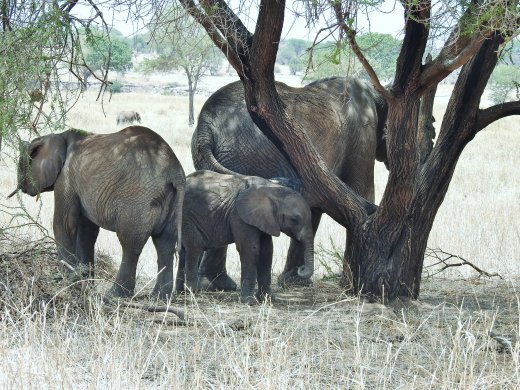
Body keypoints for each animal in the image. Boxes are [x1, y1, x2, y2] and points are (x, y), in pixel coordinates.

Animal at [9, 126, 185, 298]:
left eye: (21, 163)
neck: (57, 135)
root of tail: (174, 172)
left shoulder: (66, 178)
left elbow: (64, 223)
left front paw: (68, 282)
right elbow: (87, 231)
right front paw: (84, 282)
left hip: (139, 199)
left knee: (130, 243)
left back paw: (114, 296)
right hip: (172, 203)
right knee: (165, 243)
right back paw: (160, 297)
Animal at [176, 171, 312, 304]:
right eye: (294, 220)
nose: (301, 268)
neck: (272, 188)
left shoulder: (264, 219)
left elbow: (267, 251)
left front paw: (268, 300)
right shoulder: (239, 216)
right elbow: (250, 250)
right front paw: (249, 302)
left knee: (184, 251)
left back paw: (181, 293)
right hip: (186, 216)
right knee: (194, 248)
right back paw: (192, 293)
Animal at [190, 76, 386, 290]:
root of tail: (206, 127)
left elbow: (312, 208)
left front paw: (294, 281)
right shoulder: (363, 131)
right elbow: (362, 190)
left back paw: (206, 284)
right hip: (245, 156)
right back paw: (217, 285)